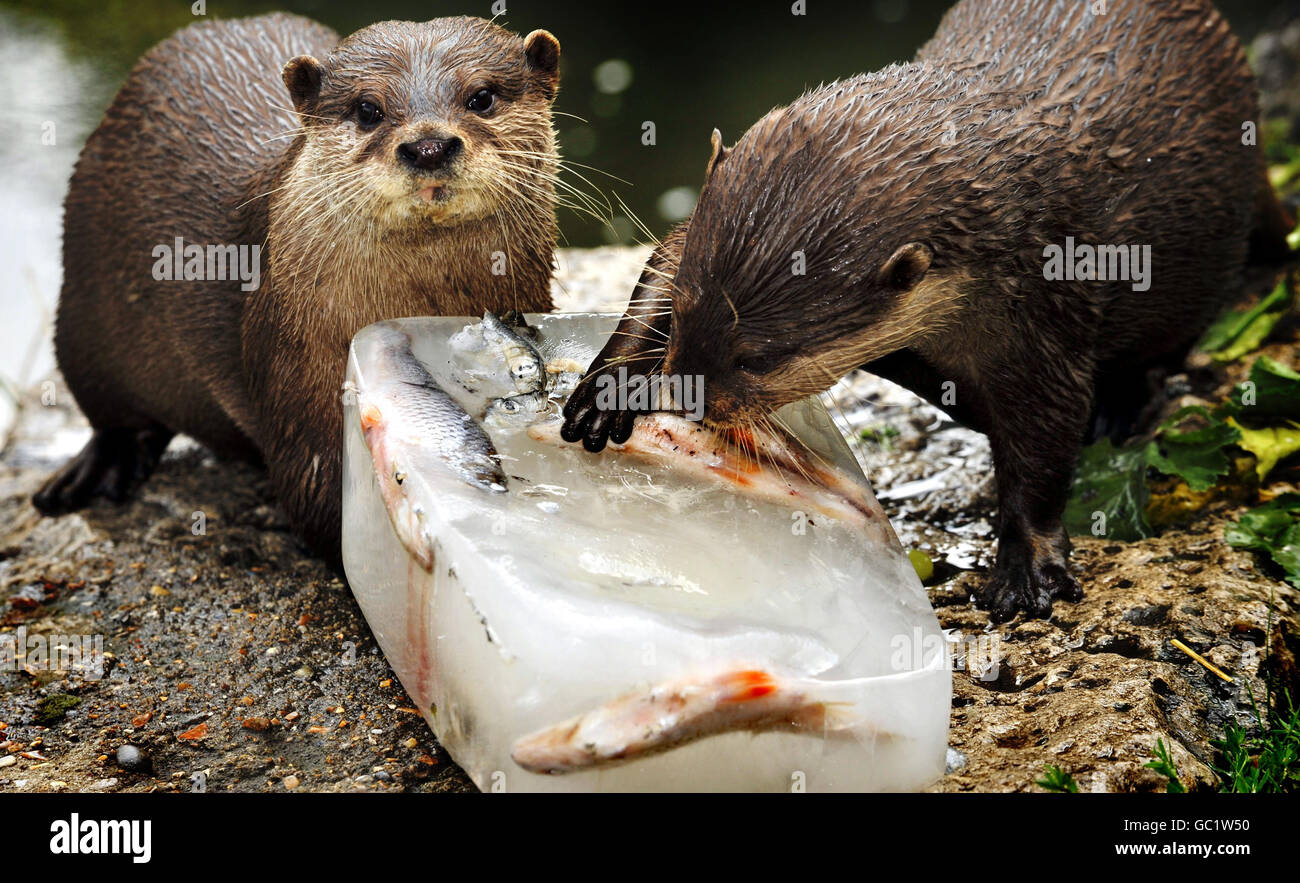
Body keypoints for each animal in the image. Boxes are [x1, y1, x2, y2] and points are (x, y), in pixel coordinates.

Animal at [32, 13, 561, 559]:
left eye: (482, 97)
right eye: (368, 109)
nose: (429, 146)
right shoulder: (301, 380)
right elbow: (316, 502)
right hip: (83, 317)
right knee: (106, 407)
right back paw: (96, 472)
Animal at [564, 0, 1294, 621]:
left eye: (758, 358)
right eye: (686, 311)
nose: (685, 394)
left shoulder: (1042, 311)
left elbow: (1044, 440)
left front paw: (1028, 566)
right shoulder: (691, 249)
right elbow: (660, 266)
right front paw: (611, 386)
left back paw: (1122, 406)